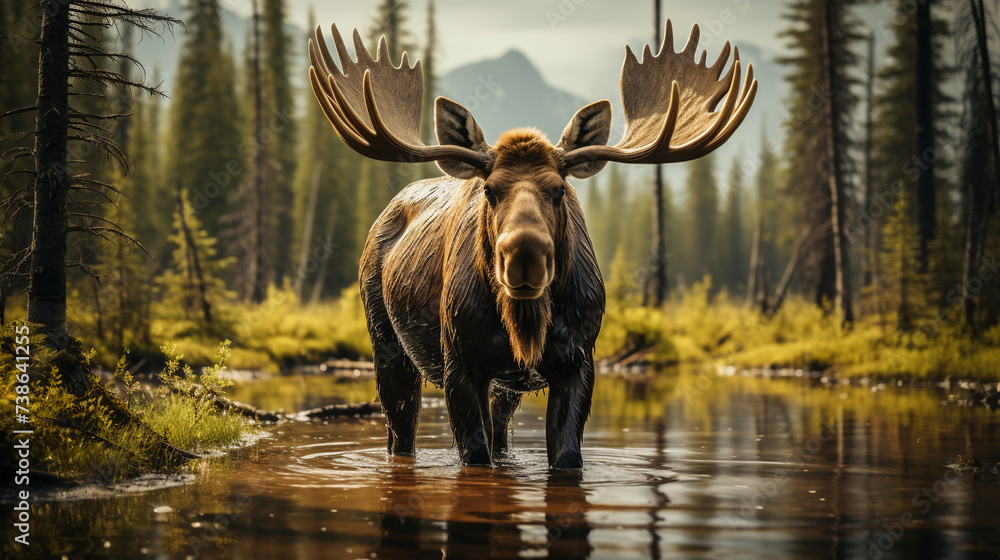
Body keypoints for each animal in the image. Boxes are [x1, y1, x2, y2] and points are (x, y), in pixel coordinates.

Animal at [307, 19, 756, 468]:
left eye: (559, 189)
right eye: (489, 190)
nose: (524, 257)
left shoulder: (578, 363)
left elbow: (565, 455)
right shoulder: (460, 366)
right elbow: (475, 453)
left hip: (503, 387)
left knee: (498, 436)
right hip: (386, 344)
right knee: (399, 436)